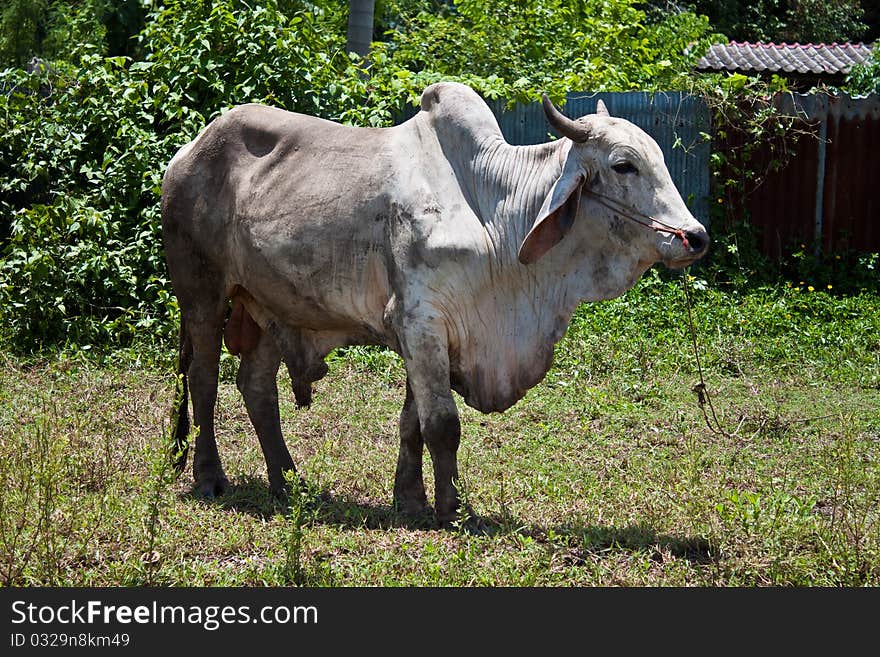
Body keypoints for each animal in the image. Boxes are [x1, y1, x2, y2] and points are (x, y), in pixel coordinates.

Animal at [160, 82, 708, 524]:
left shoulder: (425, 333)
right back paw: (210, 477)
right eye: (624, 164)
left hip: (269, 304)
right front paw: (451, 509)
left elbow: (414, 423)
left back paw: (288, 481)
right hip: (202, 294)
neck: (494, 214)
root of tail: (185, 153)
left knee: (255, 386)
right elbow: (442, 424)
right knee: (203, 381)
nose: (695, 237)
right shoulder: (421, 321)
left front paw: (410, 500)